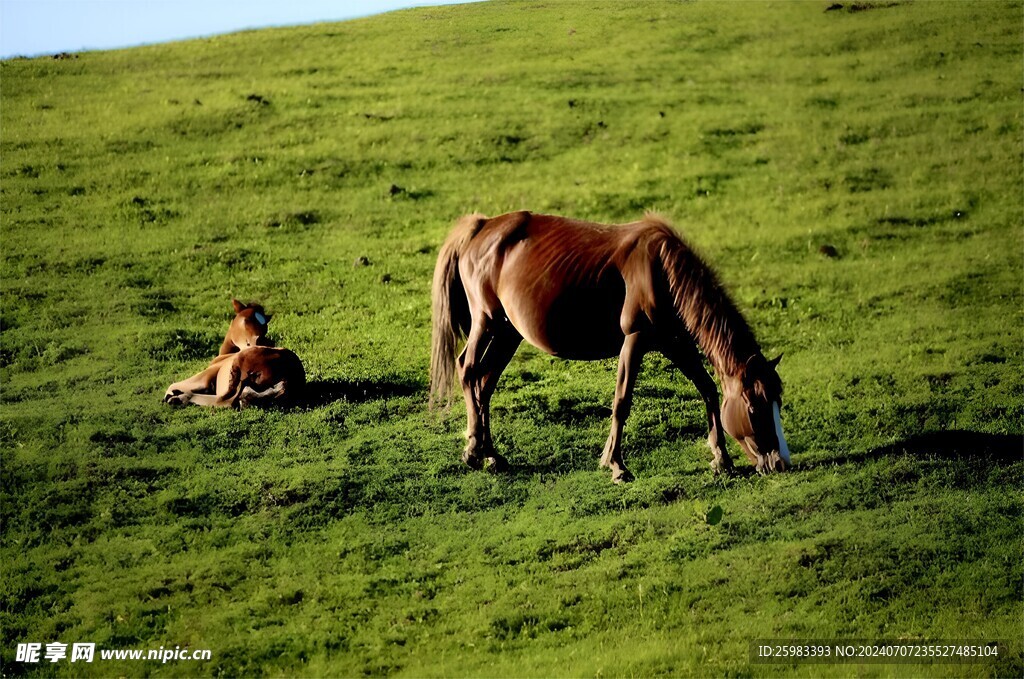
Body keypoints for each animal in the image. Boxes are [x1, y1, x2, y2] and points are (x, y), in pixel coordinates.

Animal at [162, 301, 303, 409]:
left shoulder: (205, 376)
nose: (261, 341)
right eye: (246, 320)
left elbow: (172, 385)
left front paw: (171, 395)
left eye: (265, 327)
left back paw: (179, 399)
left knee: (225, 401)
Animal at [432, 213, 790, 483]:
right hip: (487, 320)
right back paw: (474, 452)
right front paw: (616, 465)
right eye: (755, 408)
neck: (661, 270)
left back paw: (492, 455)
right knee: (468, 370)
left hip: (508, 332)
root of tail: (482, 225)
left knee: (485, 383)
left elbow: (708, 389)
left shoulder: (674, 342)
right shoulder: (636, 338)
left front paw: (721, 459)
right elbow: (622, 402)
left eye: (778, 402)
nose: (780, 462)